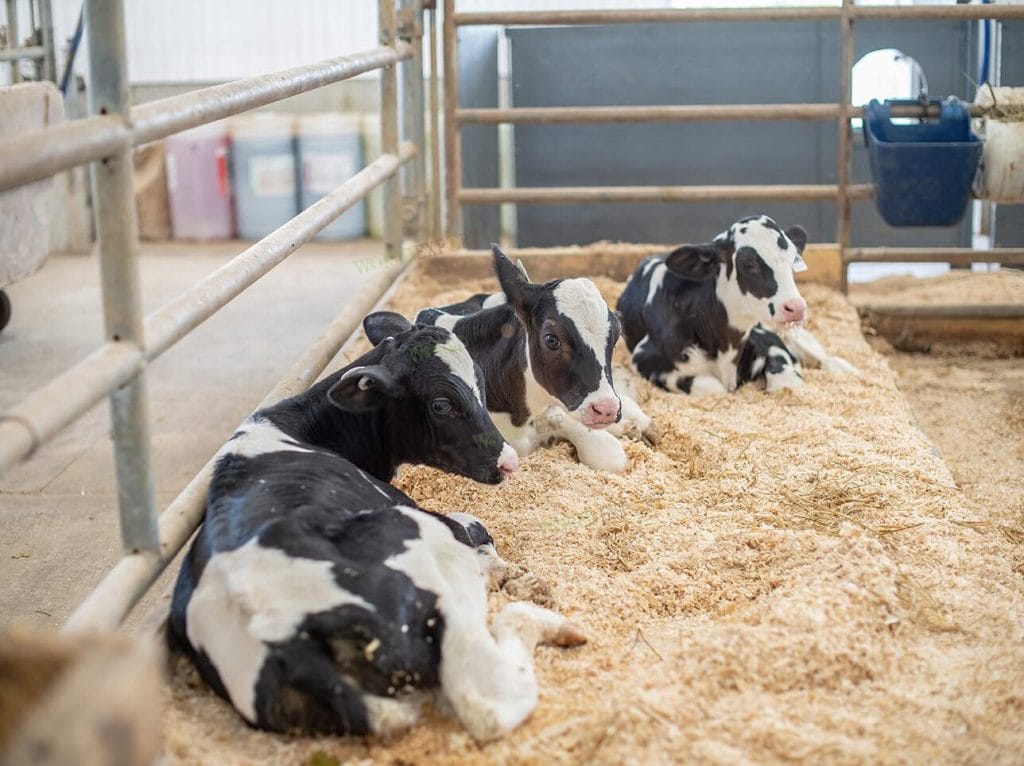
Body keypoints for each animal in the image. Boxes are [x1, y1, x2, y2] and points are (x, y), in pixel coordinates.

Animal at [168, 312, 586, 743]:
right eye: (441, 404)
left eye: (480, 385)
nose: (508, 461)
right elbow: (477, 527)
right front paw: (514, 574)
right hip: (435, 567)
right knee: (491, 698)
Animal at [616, 214, 856, 396]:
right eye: (748, 263)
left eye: (793, 259)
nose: (796, 307)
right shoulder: (643, 357)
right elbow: (712, 387)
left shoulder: (767, 337)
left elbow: (787, 380)